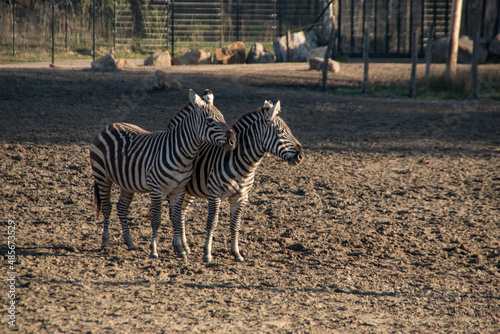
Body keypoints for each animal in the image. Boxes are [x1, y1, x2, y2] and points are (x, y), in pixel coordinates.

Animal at [89, 88, 236, 258]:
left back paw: (130, 243)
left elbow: (177, 219)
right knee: (107, 207)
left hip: (127, 182)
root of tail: (110, 125)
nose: (233, 141)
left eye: (223, 118)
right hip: (102, 176)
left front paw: (180, 249)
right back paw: (105, 242)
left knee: (122, 208)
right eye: (210, 120)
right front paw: (154, 250)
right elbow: (156, 220)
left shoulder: (179, 190)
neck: (183, 155)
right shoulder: (157, 189)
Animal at [181, 98, 302, 262]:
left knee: (181, 213)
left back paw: (185, 247)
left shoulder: (241, 196)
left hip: (188, 191)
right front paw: (207, 253)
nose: (300, 155)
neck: (243, 163)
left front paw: (236, 253)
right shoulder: (215, 194)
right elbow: (212, 223)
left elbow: (235, 225)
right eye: (280, 132)